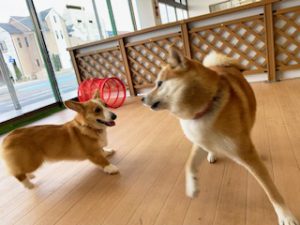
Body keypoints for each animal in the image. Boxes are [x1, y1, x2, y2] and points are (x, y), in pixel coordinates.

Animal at [142, 48, 298, 225]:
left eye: (159, 83)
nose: (141, 98)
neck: (204, 110)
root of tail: (223, 65)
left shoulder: (245, 154)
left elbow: (271, 190)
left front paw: (286, 215)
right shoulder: (199, 141)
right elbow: (189, 164)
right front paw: (192, 187)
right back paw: (212, 154)